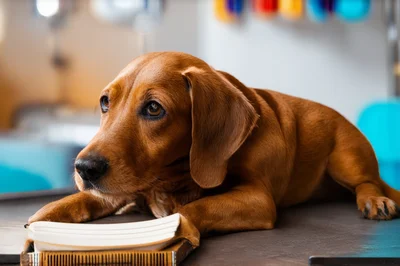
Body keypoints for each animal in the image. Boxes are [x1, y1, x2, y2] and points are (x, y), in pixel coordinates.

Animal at [28, 52, 400, 237]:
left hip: (346, 160)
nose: (84, 168)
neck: (171, 179)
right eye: (105, 102)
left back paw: (375, 200)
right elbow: (83, 200)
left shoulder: (258, 200)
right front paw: (46, 215)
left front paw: (178, 226)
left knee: (366, 183)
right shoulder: (119, 189)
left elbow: (193, 209)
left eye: (154, 108)